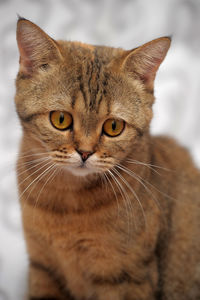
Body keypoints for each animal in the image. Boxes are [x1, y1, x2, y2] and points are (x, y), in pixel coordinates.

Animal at [15, 17, 200, 298]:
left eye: (114, 126)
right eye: (61, 119)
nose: (85, 152)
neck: (67, 205)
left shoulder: (125, 279)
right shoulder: (42, 267)